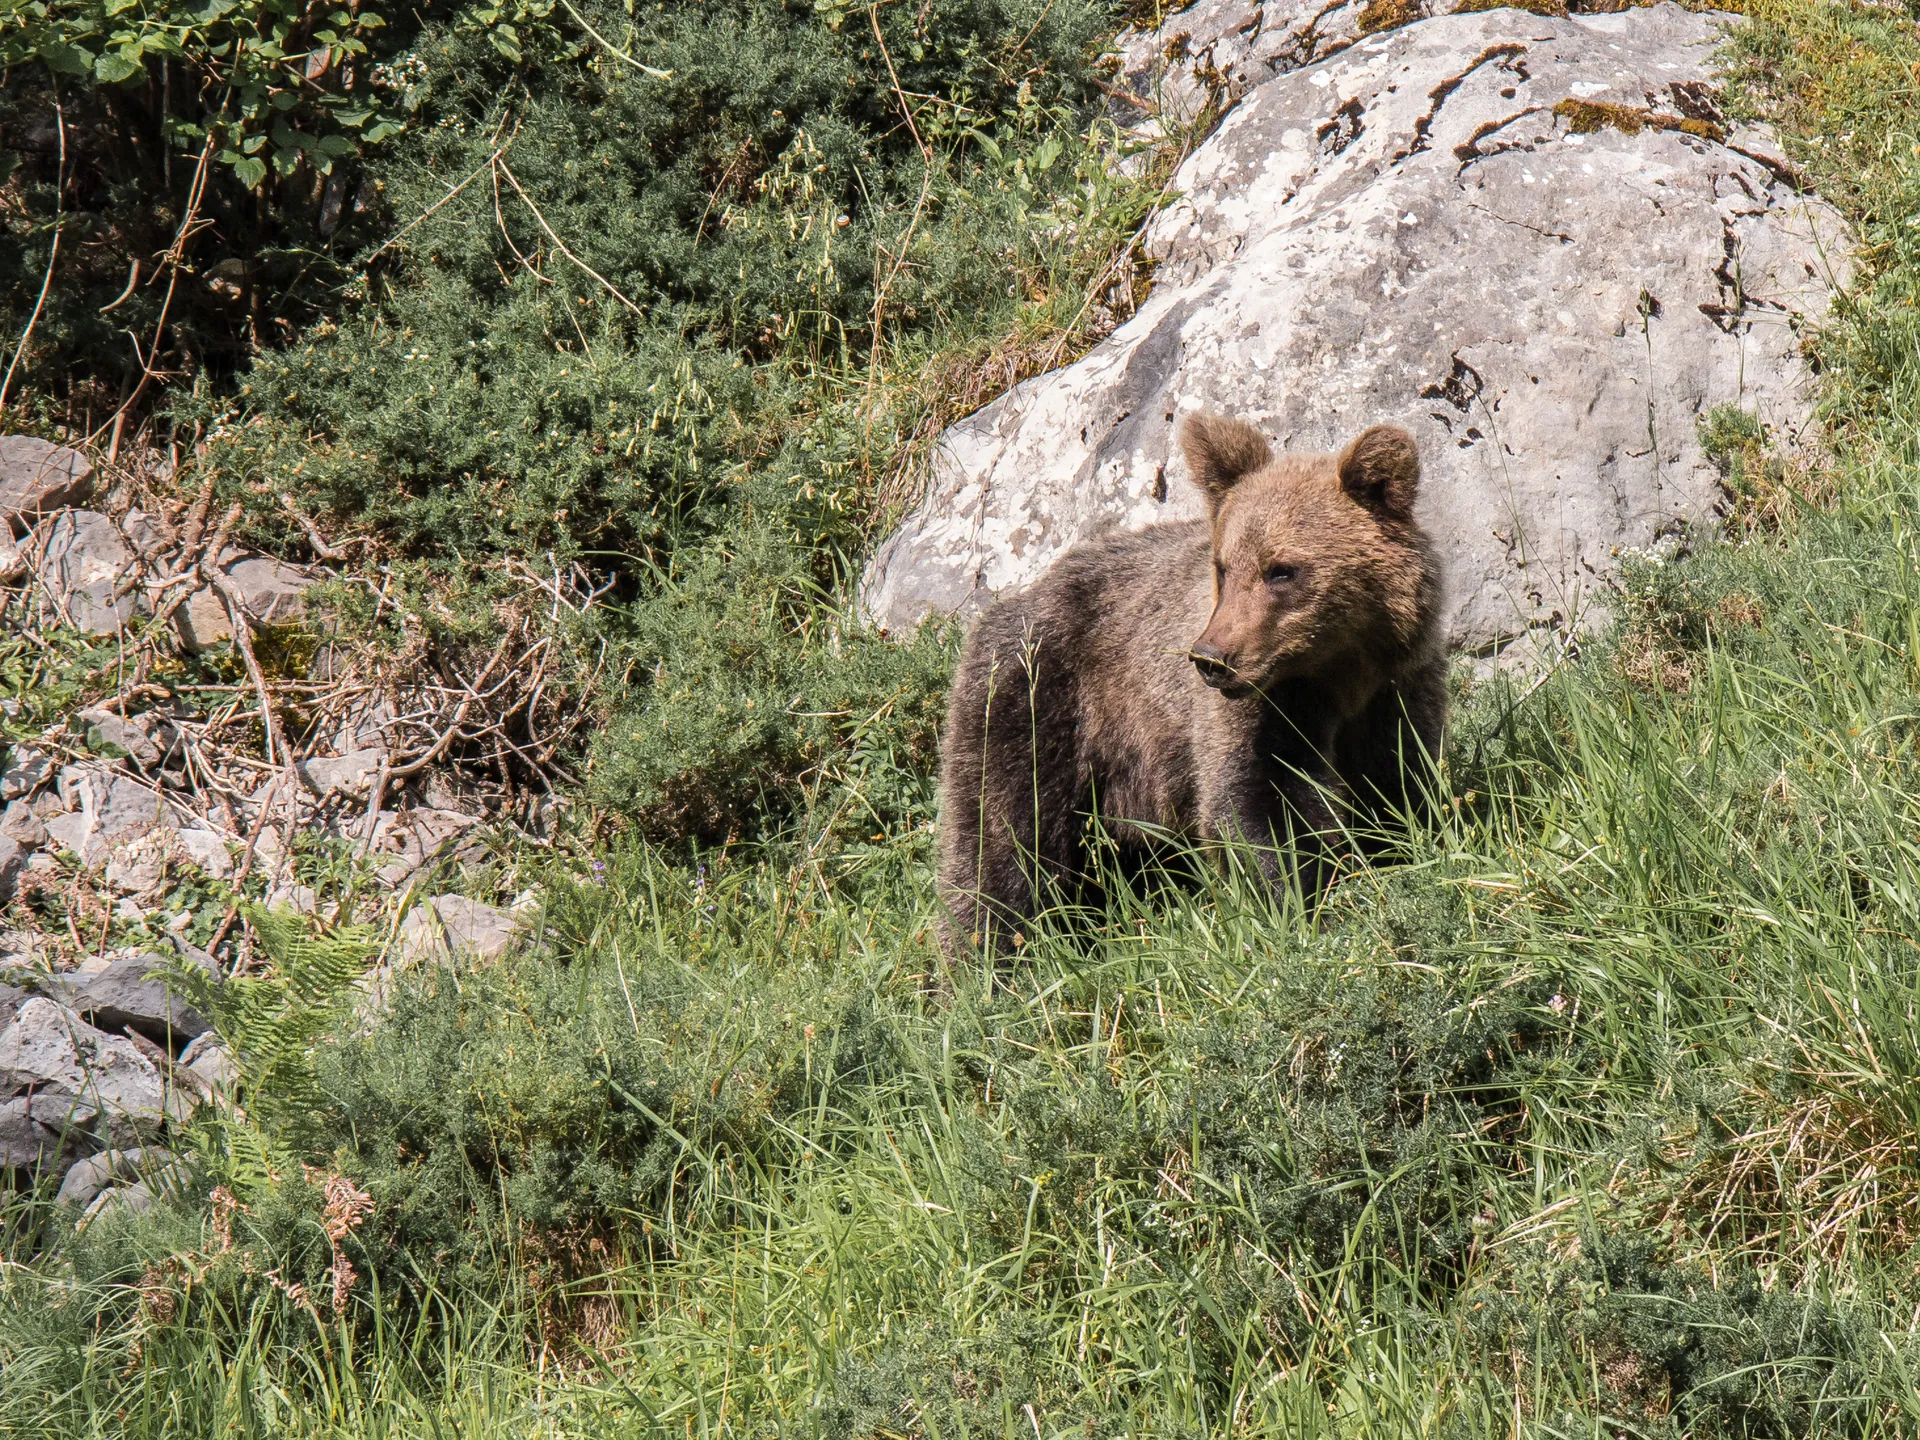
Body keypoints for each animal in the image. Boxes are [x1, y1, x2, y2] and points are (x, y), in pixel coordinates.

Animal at [935, 410, 1446, 956]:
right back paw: (992, 955)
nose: (1211, 659)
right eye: (1224, 566)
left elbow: (1400, 782)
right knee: (1001, 839)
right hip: (1036, 706)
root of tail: (1006, 605)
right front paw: (1301, 902)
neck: (1337, 674)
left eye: (1281, 570)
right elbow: (1256, 798)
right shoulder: (1257, 708)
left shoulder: (1395, 689)